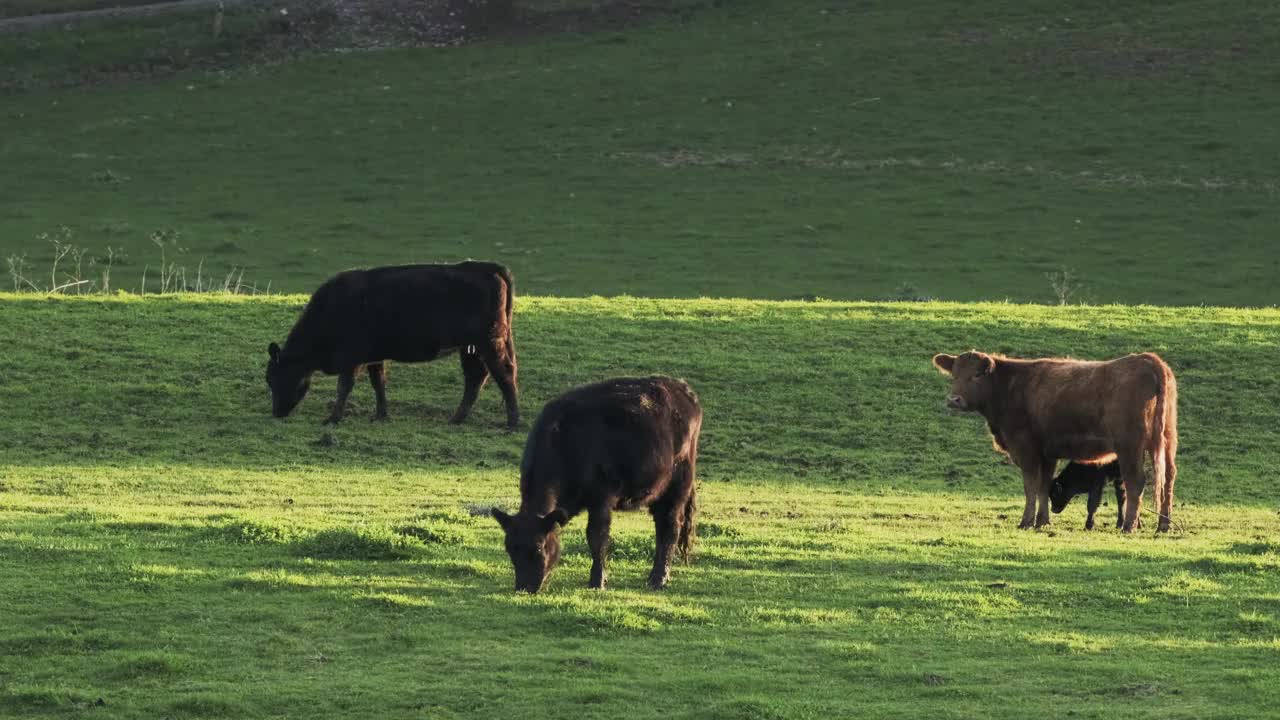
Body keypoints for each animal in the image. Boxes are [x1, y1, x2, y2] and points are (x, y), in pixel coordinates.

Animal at [264, 258, 519, 422]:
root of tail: (490, 268)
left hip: (489, 342)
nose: (276, 412)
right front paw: (381, 415)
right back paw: (457, 418)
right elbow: (378, 382)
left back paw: (513, 422)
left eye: (273, 377)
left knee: (504, 373)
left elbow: (344, 386)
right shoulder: (373, 356)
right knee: (476, 377)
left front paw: (333, 418)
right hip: (470, 347)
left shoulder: (351, 358)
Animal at [491, 376, 711, 589]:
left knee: (670, 526)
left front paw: (597, 580)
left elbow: (596, 537)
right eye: (509, 549)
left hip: (679, 484)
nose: (524, 587)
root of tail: (681, 387)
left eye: (538, 547)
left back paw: (659, 579)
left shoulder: (601, 498)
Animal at [931, 351, 1177, 530]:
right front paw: (1042, 521)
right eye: (954, 375)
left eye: (976, 375)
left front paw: (1026, 522)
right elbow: (1043, 486)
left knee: (1136, 481)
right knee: (1168, 477)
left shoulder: (1026, 449)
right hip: (1167, 441)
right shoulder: (1047, 454)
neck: (1010, 388)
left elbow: (1030, 486)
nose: (954, 399)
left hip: (1129, 446)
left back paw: (1129, 526)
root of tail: (1148, 360)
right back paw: (1163, 525)